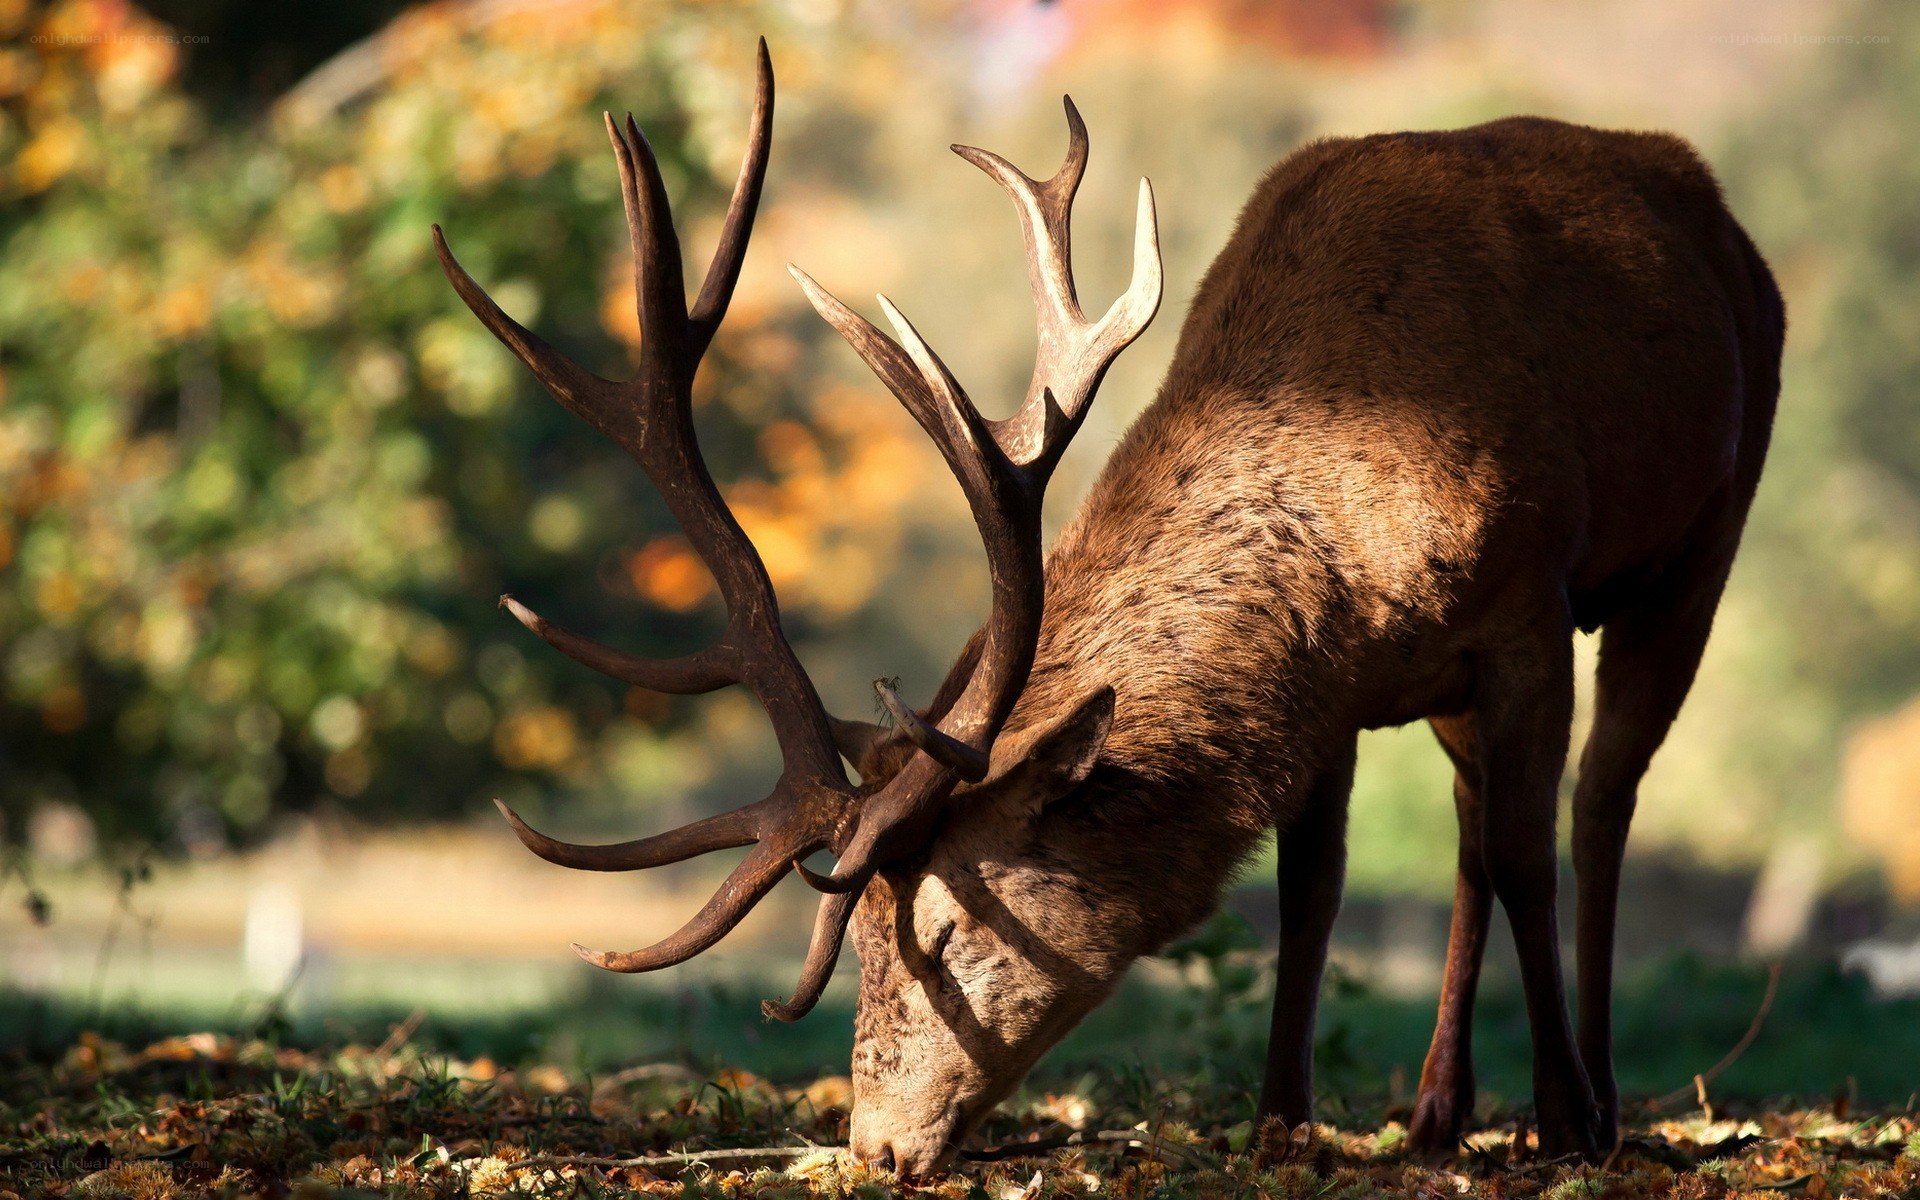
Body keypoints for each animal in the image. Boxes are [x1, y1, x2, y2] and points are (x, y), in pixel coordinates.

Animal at [434, 42, 1783, 1179]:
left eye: (946, 933)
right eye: (857, 940)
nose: (875, 1147)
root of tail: (1717, 211)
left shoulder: (1525, 601)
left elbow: (1525, 851)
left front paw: (1561, 1123)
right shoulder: (1340, 689)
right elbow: (1315, 886)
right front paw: (1282, 1121)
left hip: (1706, 538)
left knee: (1597, 805)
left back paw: (1592, 1098)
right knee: (1465, 824)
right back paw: (1438, 1111)